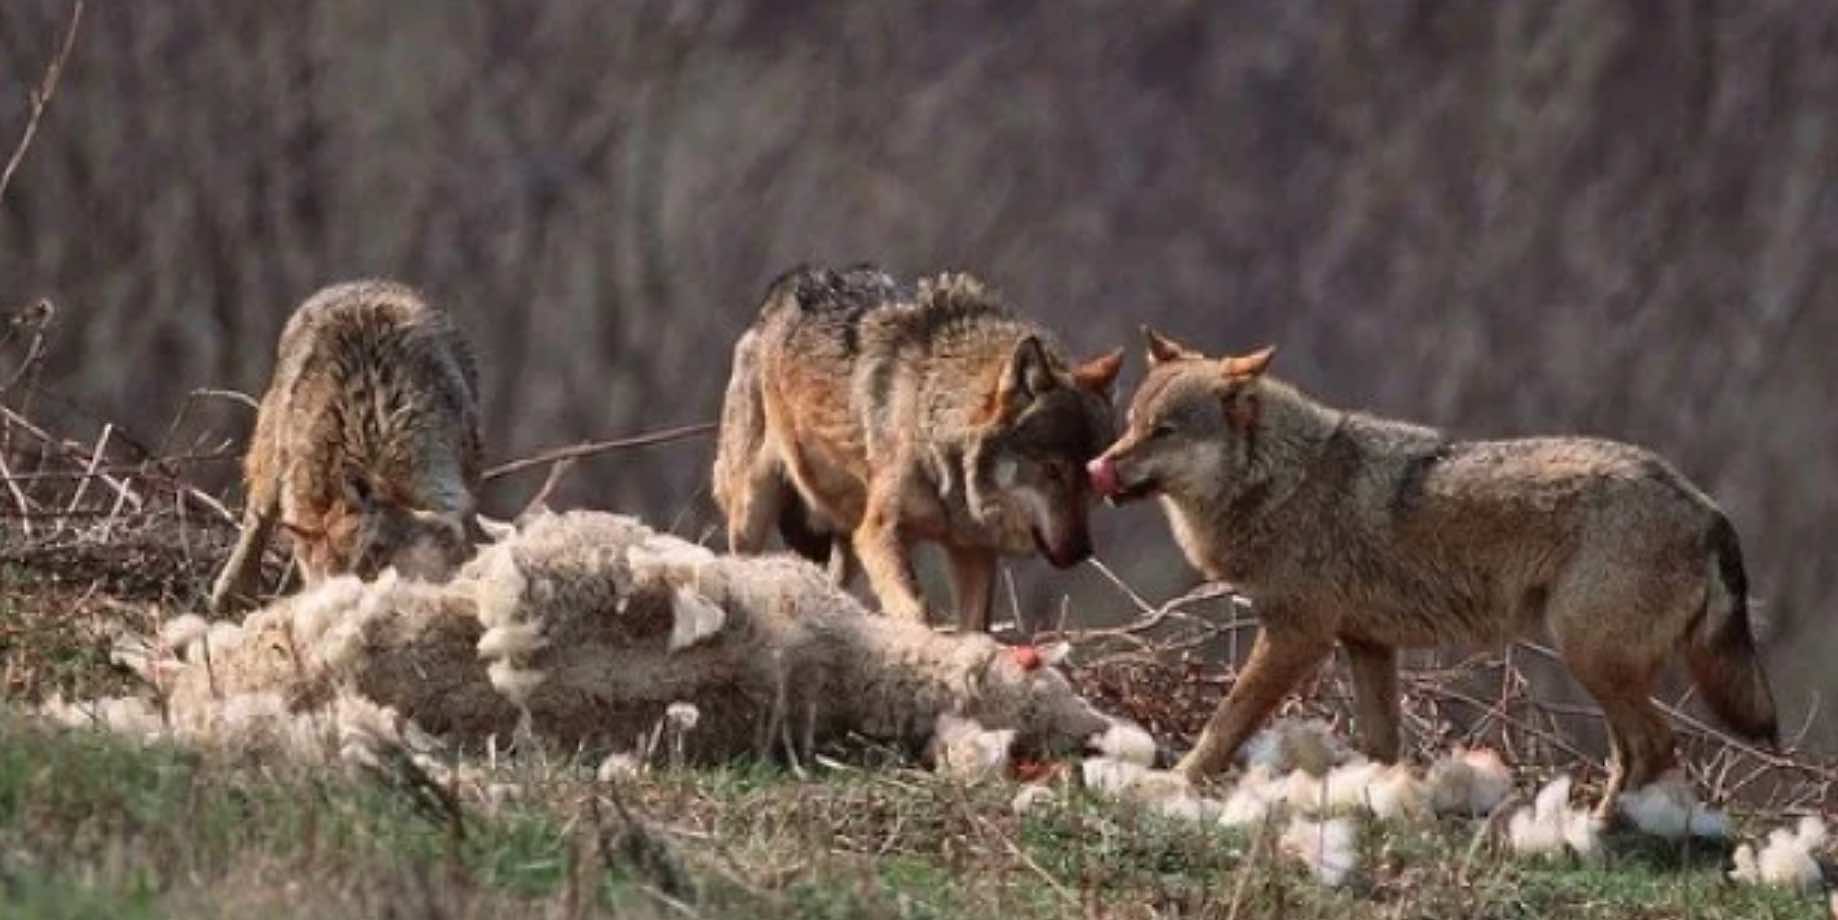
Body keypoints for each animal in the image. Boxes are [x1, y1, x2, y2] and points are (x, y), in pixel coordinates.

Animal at [206, 275, 488, 613]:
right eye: (328, 576)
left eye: (374, 556)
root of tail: (358, 283)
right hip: (270, 458)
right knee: (256, 521)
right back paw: (229, 594)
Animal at [713, 262, 1117, 628]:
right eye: (1052, 470)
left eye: (1090, 474)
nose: (1082, 551)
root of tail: (784, 288)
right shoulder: (879, 533)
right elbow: (917, 610)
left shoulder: (973, 553)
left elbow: (976, 628)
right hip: (754, 512)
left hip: (846, 536)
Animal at [1088, 326, 1779, 815]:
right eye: (1131, 426)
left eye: (1165, 431)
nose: (1098, 467)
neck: (1279, 482)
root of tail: (1710, 509)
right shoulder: (1367, 645)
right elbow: (1381, 746)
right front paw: (1379, 799)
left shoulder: (1295, 638)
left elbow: (1225, 722)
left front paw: (1175, 783)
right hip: (1601, 666)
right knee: (1639, 751)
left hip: (1589, 656)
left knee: (1655, 745)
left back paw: (1601, 833)